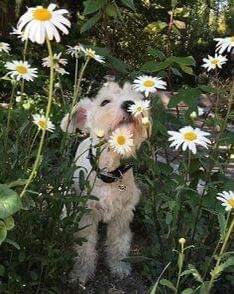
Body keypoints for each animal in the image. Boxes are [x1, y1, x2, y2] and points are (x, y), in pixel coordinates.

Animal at [60, 81, 150, 284]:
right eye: (104, 102)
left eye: (136, 98)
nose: (130, 104)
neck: (109, 172)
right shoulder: (86, 215)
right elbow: (85, 247)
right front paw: (81, 272)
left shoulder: (122, 214)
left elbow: (119, 242)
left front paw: (119, 266)